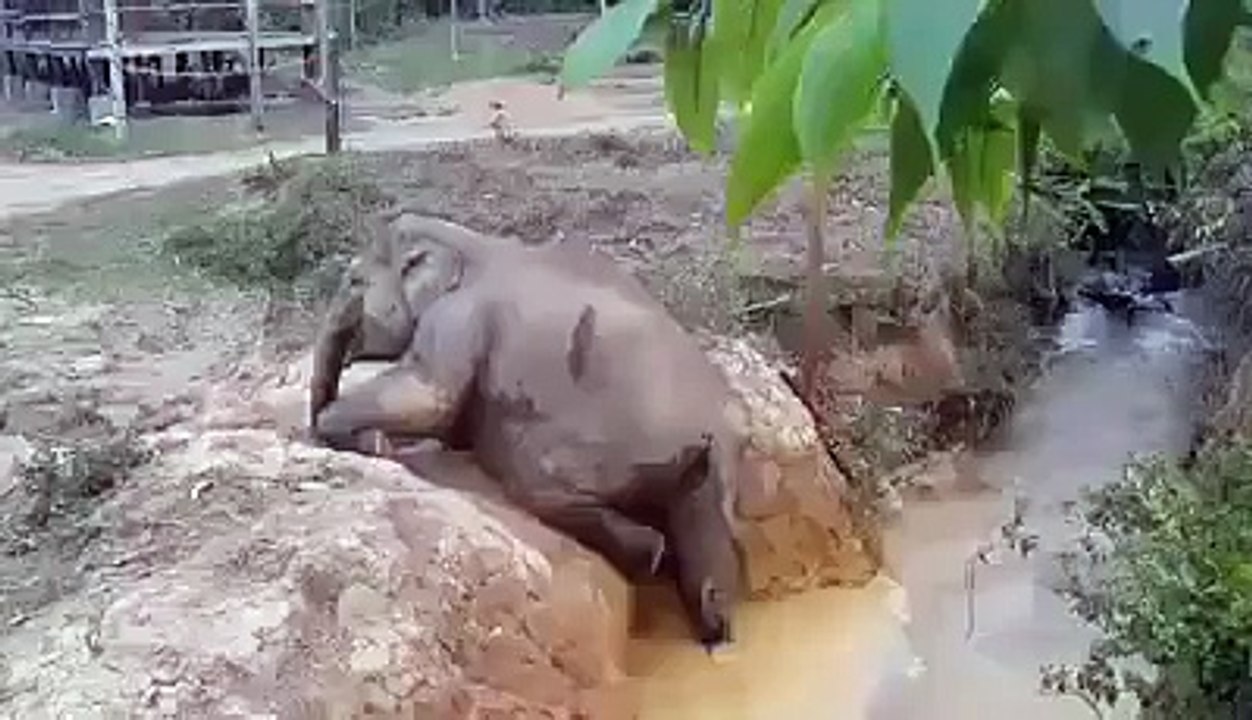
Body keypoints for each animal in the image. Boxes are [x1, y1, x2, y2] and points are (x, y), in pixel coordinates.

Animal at [308, 213, 744, 650]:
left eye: (354, 281)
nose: (311, 434)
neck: (467, 241)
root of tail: (710, 428)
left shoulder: (457, 315)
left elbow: (434, 396)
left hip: (609, 444)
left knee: (533, 482)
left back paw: (651, 553)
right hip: (711, 472)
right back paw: (715, 630)